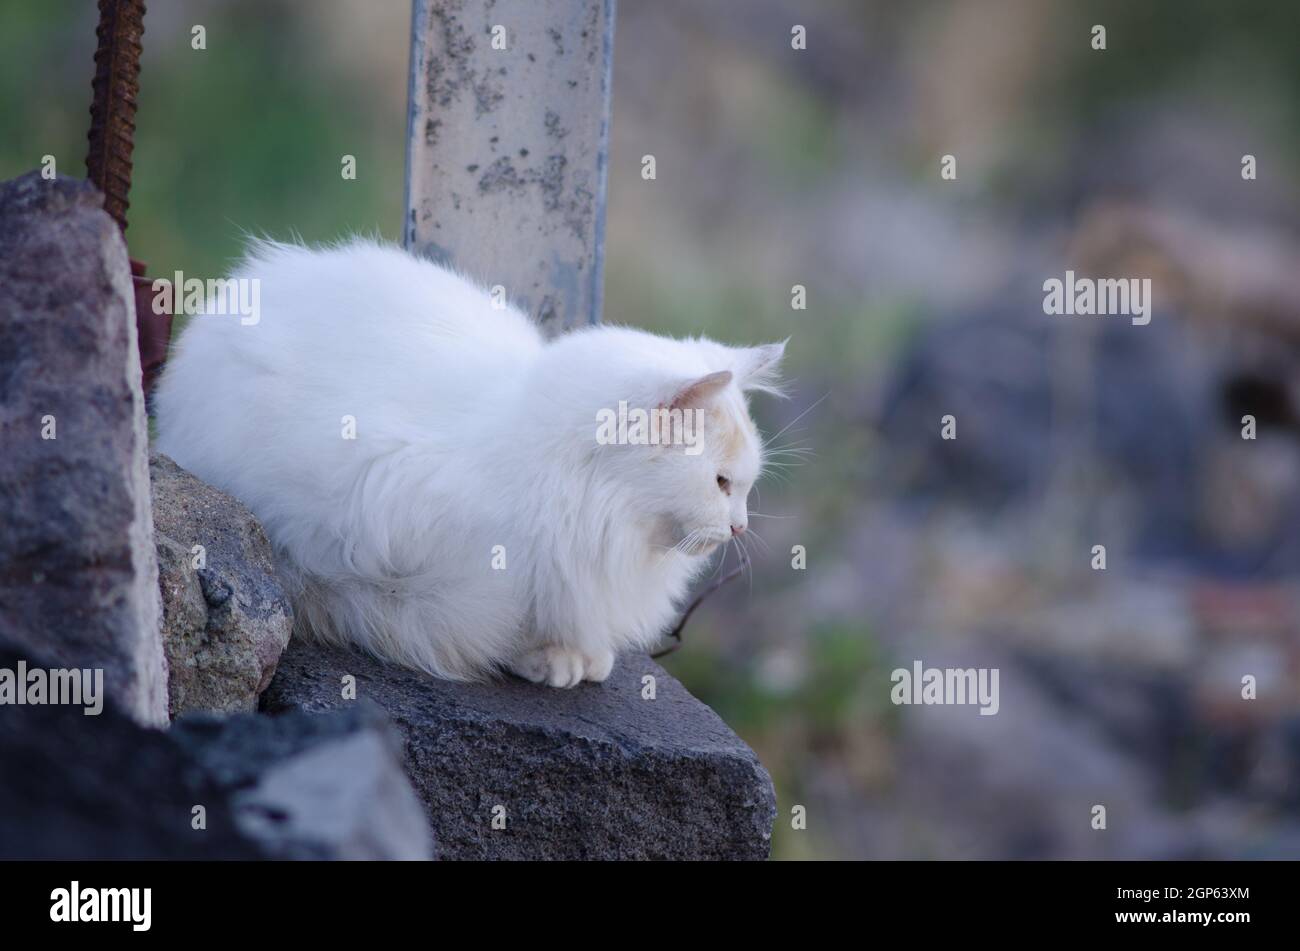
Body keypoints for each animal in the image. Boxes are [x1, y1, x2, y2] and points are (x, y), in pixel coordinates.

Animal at [152, 237, 780, 685]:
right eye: (721, 483)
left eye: (744, 487)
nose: (739, 526)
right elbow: (507, 622)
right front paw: (549, 660)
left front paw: (581, 656)